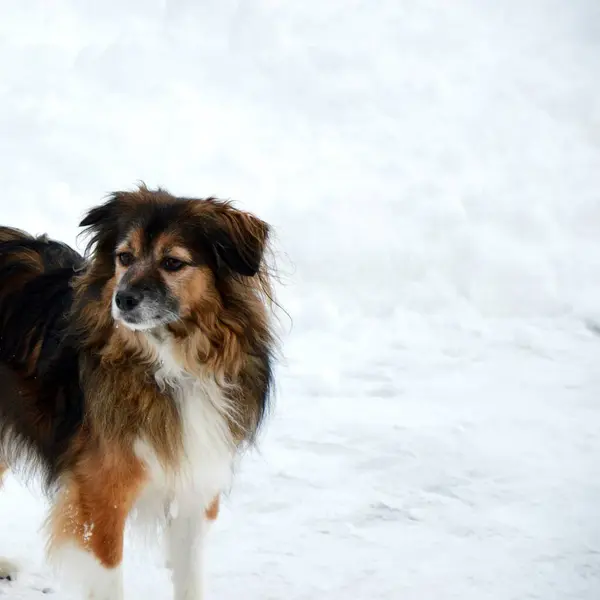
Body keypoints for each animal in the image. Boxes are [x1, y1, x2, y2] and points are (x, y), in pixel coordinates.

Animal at [0, 185, 276, 596]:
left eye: (173, 262)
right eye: (124, 257)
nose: (123, 299)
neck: (170, 364)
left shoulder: (194, 488)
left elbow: (190, 579)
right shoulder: (100, 497)